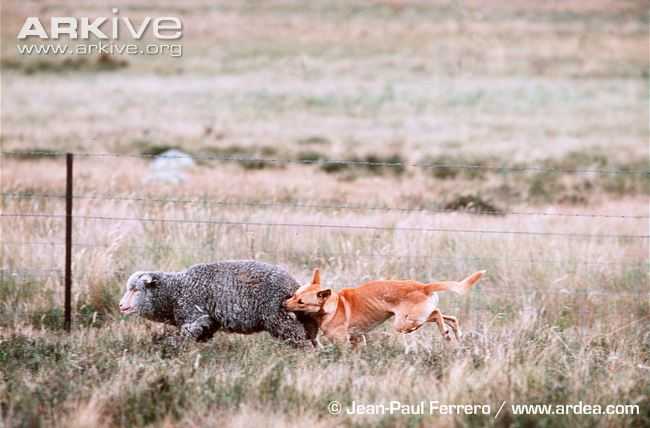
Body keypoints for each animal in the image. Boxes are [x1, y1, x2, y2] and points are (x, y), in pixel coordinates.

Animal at [119, 260, 318, 346]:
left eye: (135, 290)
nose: (121, 306)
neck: (174, 292)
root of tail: (293, 284)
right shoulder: (209, 322)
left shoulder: (193, 316)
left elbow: (185, 337)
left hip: (280, 317)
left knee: (300, 338)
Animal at [280, 270, 484, 346]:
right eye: (294, 295)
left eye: (301, 302)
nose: (283, 304)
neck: (333, 305)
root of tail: (423, 287)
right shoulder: (357, 339)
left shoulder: (342, 342)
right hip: (413, 319)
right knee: (449, 317)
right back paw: (455, 332)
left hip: (403, 322)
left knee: (436, 314)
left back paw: (446, 333)